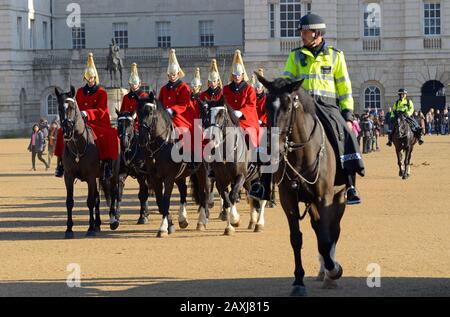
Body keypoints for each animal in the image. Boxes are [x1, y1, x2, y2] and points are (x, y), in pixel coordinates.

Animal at [256, 74, 344, 296]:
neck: (301, 156)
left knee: (333, 230)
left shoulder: (324, 197)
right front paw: (298, 281)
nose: (273, 150)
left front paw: (334, 269)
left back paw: (330, 273)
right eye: (266, 106)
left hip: (340, 196)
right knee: (319, 227)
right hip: (311, 203)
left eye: (288, 107)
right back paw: (323, 271)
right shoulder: (288, 198)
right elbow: (296, 238)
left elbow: (326, 240)